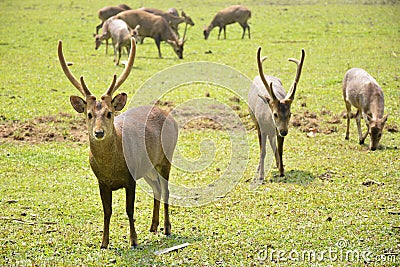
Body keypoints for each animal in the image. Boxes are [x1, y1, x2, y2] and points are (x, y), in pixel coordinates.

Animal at [57, 38, 178, 250]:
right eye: (89, 114)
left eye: (109, 113)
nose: (99, 132)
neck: (111, 167)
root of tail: (170, 117)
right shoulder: (101, 181)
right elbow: (107, 211)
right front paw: (104, 243)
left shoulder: (130, 177)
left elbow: (129, 209)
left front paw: (134, 240)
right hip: (147, 168)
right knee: (156, 188)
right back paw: (153, 226)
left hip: (165, 159)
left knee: (166, 190)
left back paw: (167, 228)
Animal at [248, 47, 304, 179]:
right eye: (275, 114)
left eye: (290, 114)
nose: (284, 131)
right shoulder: (261, 128)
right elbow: (263, 151)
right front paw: (261, 176)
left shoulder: (277, 132)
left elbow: (280, 150)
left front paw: (282, 171)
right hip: (257, 124)